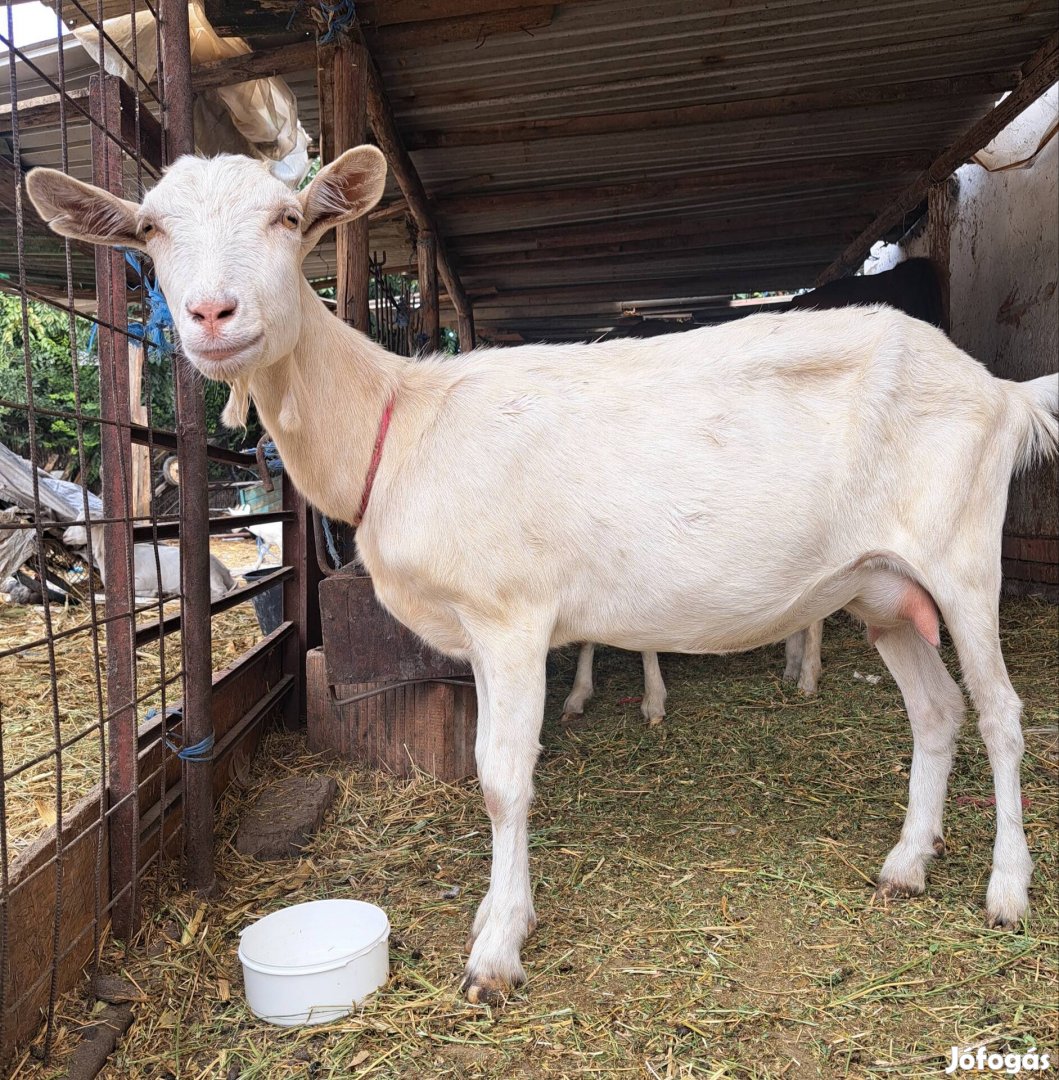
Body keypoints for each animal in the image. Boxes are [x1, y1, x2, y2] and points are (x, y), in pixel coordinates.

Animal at [65, 520, 234, 604]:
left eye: (82, 524)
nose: (64, 536)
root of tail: (224, 571)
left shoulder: (142, 579)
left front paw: (156, 592)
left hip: (211, 575)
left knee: (221, 590)